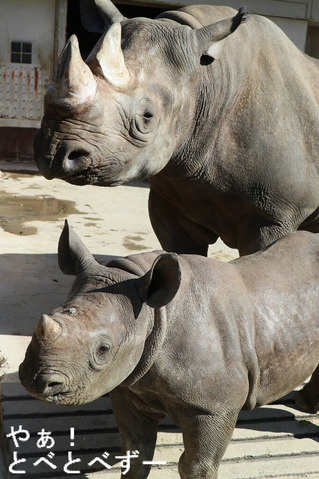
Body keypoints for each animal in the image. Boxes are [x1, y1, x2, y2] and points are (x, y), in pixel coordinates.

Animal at [19, 222, 319, 479]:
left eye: (103, 349)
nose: (37, 381)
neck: (154, 315)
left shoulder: (214, 407)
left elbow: (196, 465)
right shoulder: (129, 386)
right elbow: (136, 452)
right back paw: (306, 404)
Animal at [33, 0, 319, 256]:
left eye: (147, 117)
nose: (55, 153)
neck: (206, 81)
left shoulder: (273, 215)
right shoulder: (169, 200)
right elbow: (182, 254)